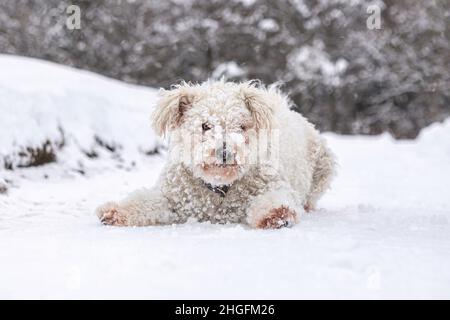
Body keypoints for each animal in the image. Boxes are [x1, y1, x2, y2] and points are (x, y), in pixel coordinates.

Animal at [96, 81, 336, 229]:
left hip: (323, 165)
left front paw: (277, 214)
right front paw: (115, 211)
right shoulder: (172, 197)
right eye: (205, 125)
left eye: (242, 126)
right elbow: (147, 201)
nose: (225, 152)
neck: (219, 186)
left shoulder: (271, 184)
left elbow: (274, 198)